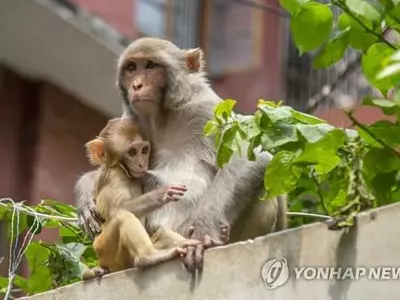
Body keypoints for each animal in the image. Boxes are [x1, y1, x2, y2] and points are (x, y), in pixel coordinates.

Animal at [82, 118, 193, 280]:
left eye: (144, 150)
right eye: (132, 152)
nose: (142, 164)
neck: (123, 171)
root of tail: (103, 262)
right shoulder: (113, 177)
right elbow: (115, 210)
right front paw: (161, 194)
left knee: (163, 233)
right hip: (107, 251)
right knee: (122, 215)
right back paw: (148, 257)